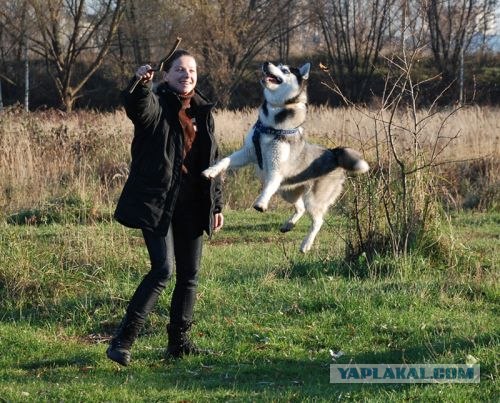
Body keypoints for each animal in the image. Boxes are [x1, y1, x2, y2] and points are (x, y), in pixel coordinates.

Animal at [201, 61, 370, 252]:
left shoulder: (276, 168)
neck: (271, 126)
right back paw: (289, 224)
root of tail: (334, 154)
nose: (266, 63)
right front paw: (211, 171)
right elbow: (225, 160)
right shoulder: (248, 153)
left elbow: (269, 185)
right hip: (287, 192)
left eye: (285, 70)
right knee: (300, 207)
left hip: (313, 198)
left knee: (318, 220)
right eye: (277, 64)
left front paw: (261, 202)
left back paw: (306, 244)